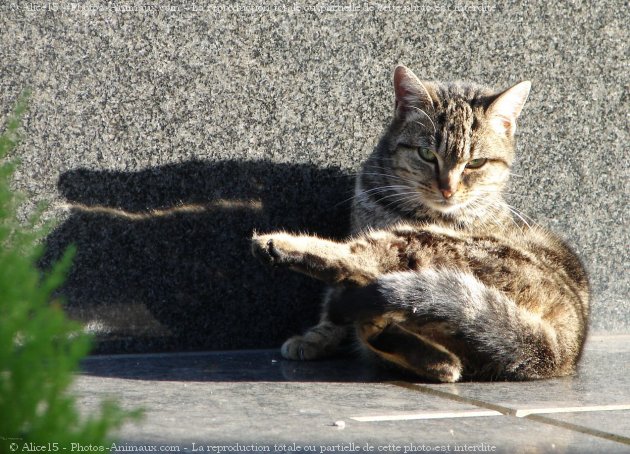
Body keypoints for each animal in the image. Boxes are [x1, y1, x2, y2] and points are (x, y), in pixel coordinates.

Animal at [252, 65, 592, 382]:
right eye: (427, 154)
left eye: (476, 163)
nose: (448, 189)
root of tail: (562, 350)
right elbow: (330, 310)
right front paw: (317, 336)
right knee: (443, 362)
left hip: (431, 248)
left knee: (362, 266)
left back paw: (276, 244)